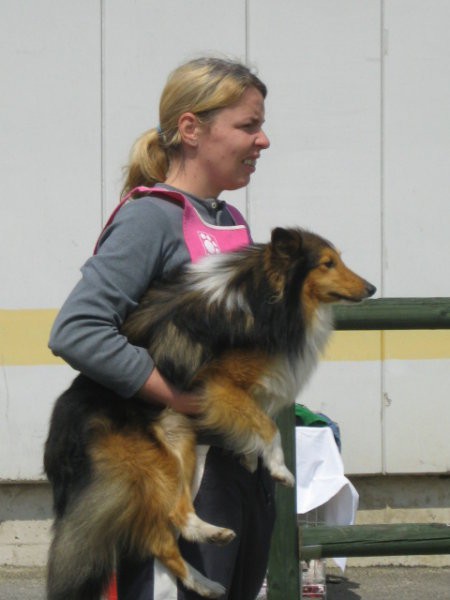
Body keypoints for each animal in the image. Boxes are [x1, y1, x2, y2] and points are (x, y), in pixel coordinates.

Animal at [44, 227, 374, 596]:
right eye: (327, 263)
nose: (371, 288)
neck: (261, 294)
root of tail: (63, 433)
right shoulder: (219, 387)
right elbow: (267, 426)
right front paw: (279, 469)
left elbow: (254, 423)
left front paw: (248, 456)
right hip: (153, 461)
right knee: (171, 521)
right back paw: (207, 556)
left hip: (179, 443)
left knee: (168, 533)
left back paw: (208, 570)